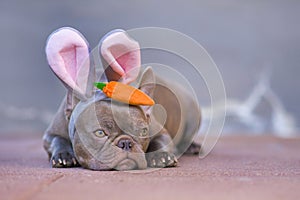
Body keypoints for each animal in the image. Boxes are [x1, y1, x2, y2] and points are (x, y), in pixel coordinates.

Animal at [42, 27, 202, 170]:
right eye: (100, 133)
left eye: (143, 132)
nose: (126, 143)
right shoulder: (51, 134)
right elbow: (57, 140)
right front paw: (64, 155)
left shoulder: (160, 131)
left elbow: (160, 141)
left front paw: (161, 155)